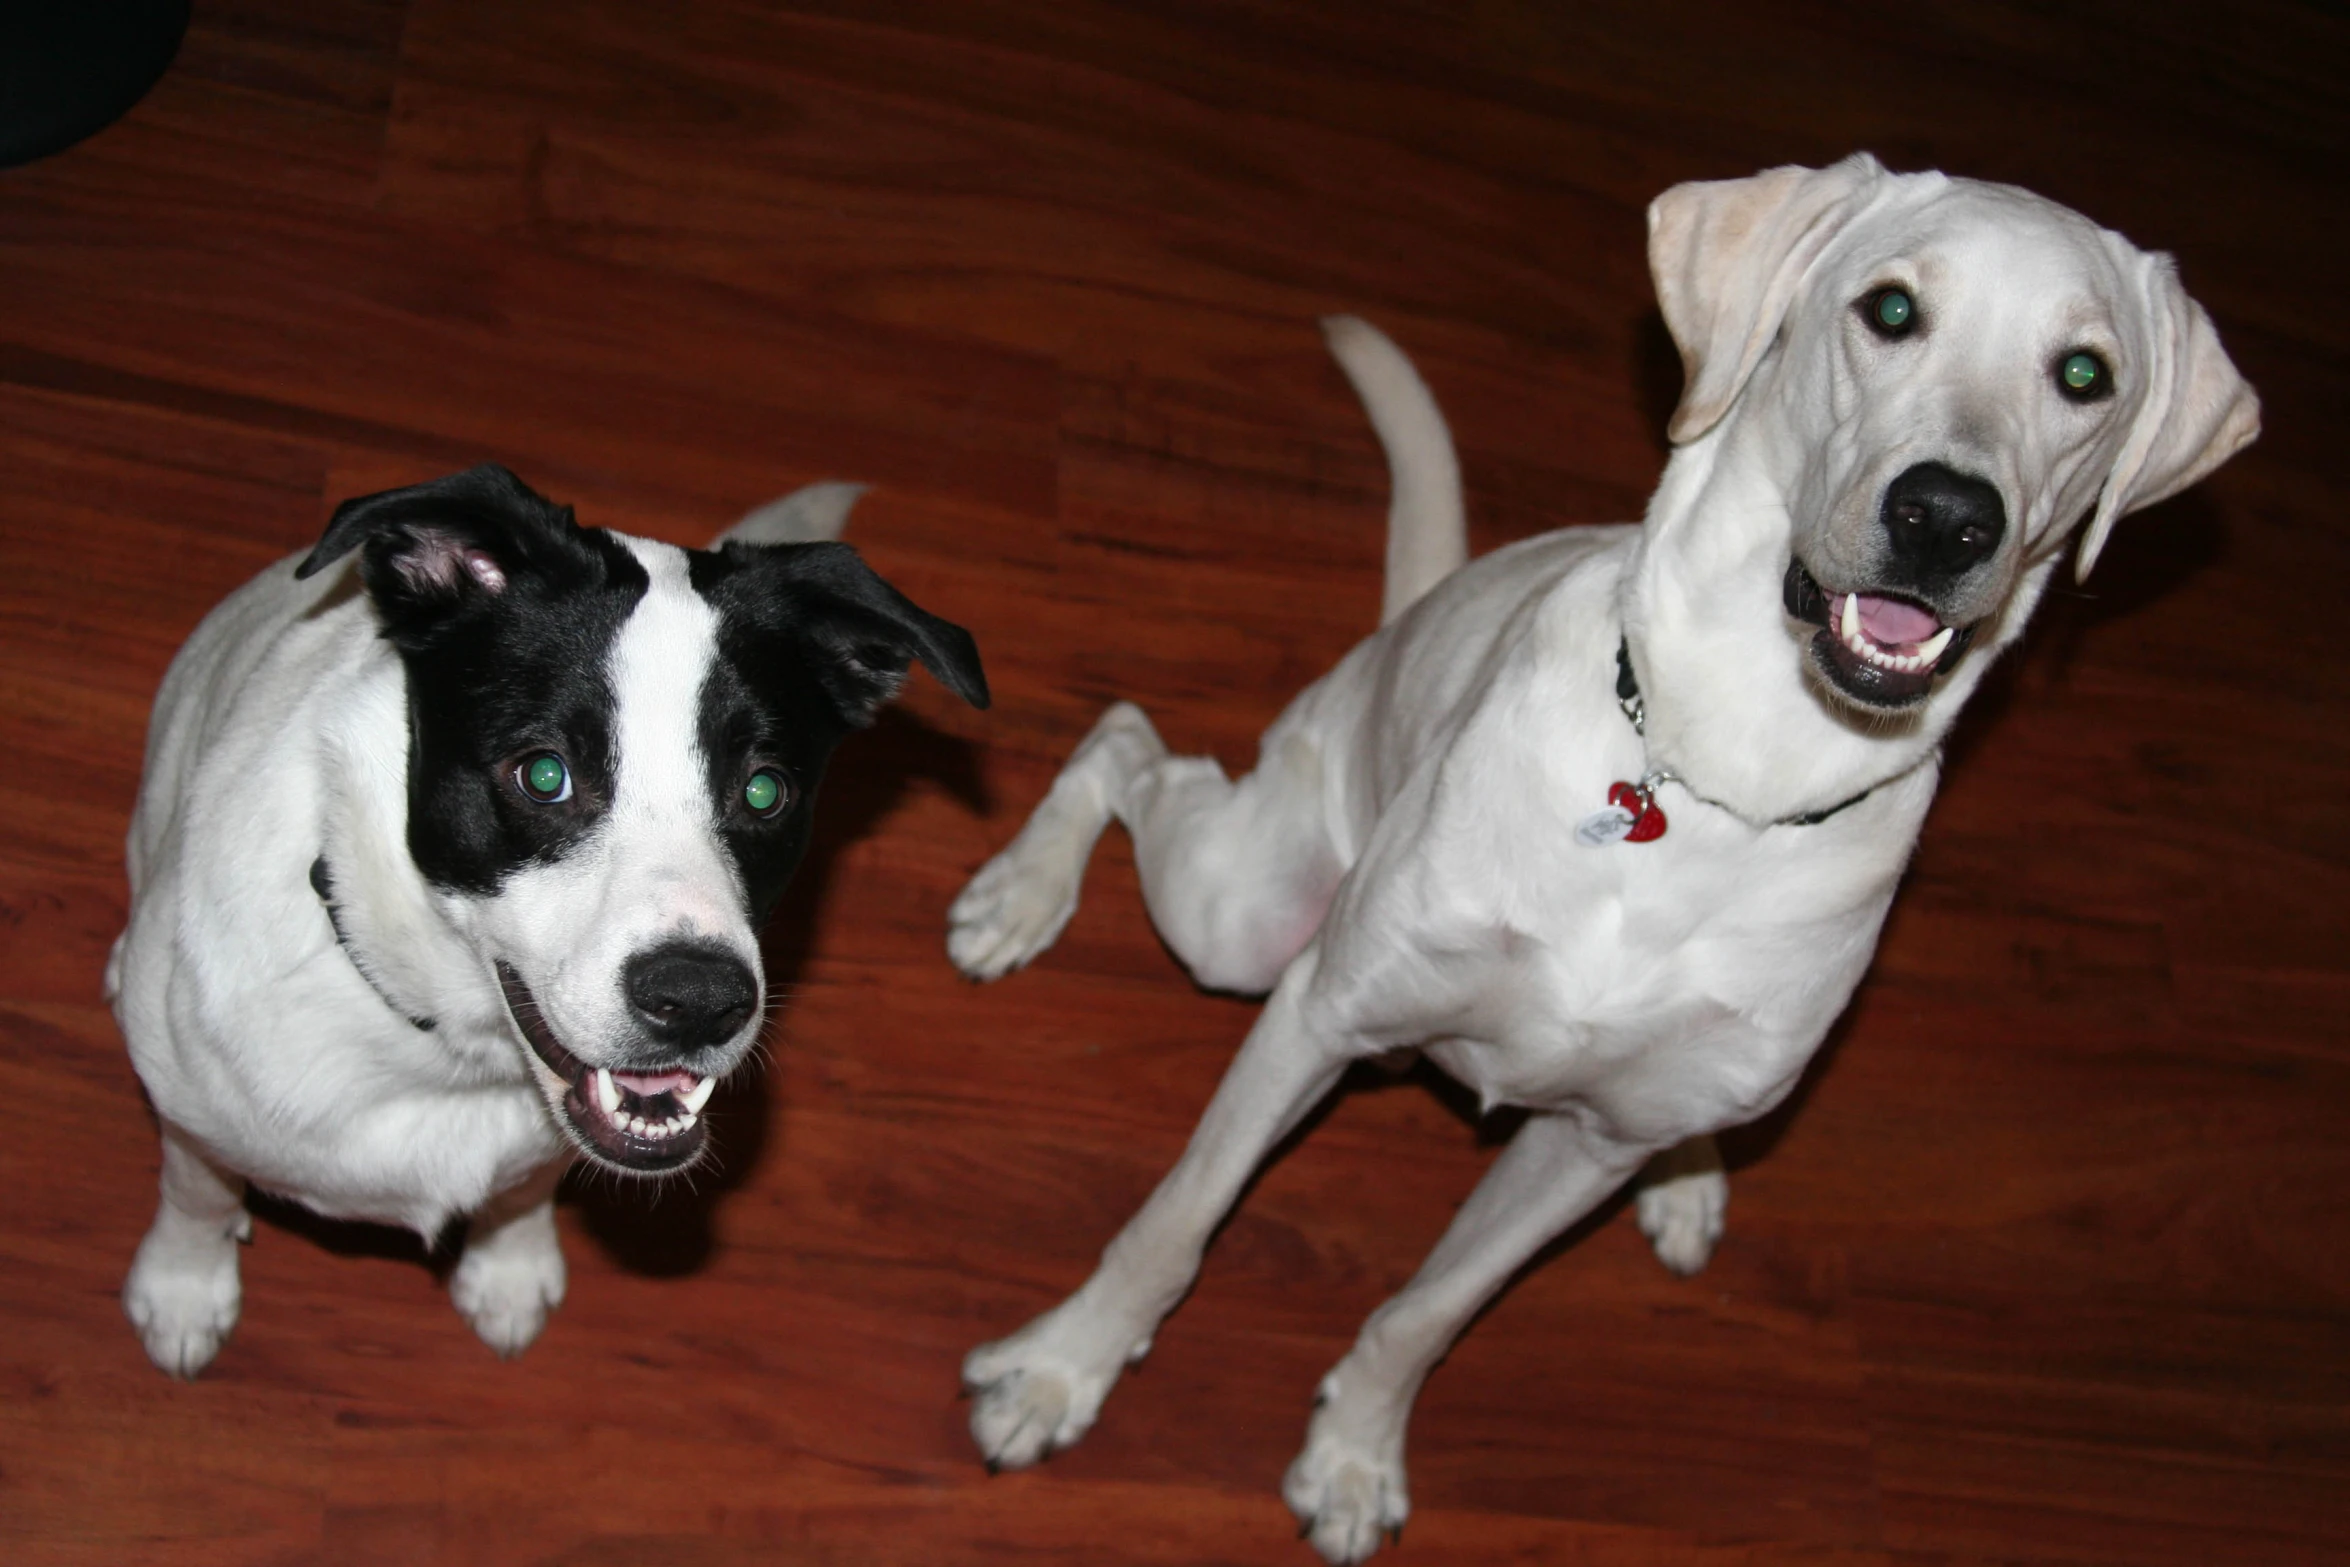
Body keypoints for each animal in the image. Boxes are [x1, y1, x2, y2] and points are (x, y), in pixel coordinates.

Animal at [110, 465, 982, 1372]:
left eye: (765, 789)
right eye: (544, 774)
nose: (699, 1000)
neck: (447, 1044)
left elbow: (521, 1191)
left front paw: (508, 1268)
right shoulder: (193, 1111)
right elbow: (198, 1189)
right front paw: (183, 1285)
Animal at [939, 156, 2256, 1559]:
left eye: (2085, 374)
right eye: (1890, 310)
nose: (1947, 515)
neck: (1727, 777)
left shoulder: (1582, 1148)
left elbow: (1428, 1312)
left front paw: (1354, 1453)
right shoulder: (1320, 1014)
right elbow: (1176, 1222)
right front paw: (1061, 1372)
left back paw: (1690, 1180)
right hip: (1241, 909)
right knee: (1129, 743)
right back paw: (1018, 897)